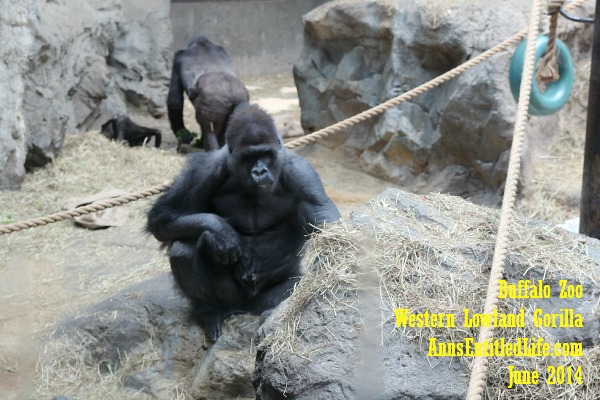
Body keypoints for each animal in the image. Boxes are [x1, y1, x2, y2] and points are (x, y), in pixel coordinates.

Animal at [147, 104, 340, 340]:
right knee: (181, 250)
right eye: (249, 157)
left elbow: (323, 216)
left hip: (266, 298)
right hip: (233, 298)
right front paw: (219, 230)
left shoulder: (302, 173)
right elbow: (163, 218)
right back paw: (211, 310)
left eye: (266, 154)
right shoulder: (204, 170)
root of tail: (248, 307)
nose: (260, 171)